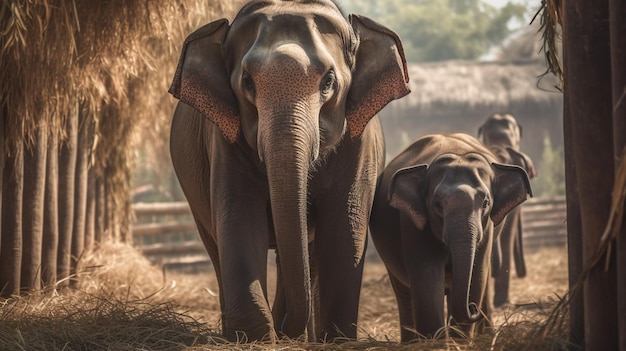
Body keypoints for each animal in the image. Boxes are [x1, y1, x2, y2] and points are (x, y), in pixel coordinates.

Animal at [168, 0, 408, 344]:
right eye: (247, 82)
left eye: (329, 82)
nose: (283, 329)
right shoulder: (225, 140)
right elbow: (239, 214)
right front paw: (254, 337)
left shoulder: (360, 141)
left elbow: (344, 222)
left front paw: (335, 339)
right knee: (216, 246)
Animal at [368, 133, 528, 340]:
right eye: (437, 205)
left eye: (485, 202)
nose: (473, 308)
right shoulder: (414, 223)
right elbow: (427, 276)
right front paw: (435, 341)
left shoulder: (487, 229)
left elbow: (477, 275)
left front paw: (458, 340)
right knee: (403, 291)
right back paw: (411, 342)